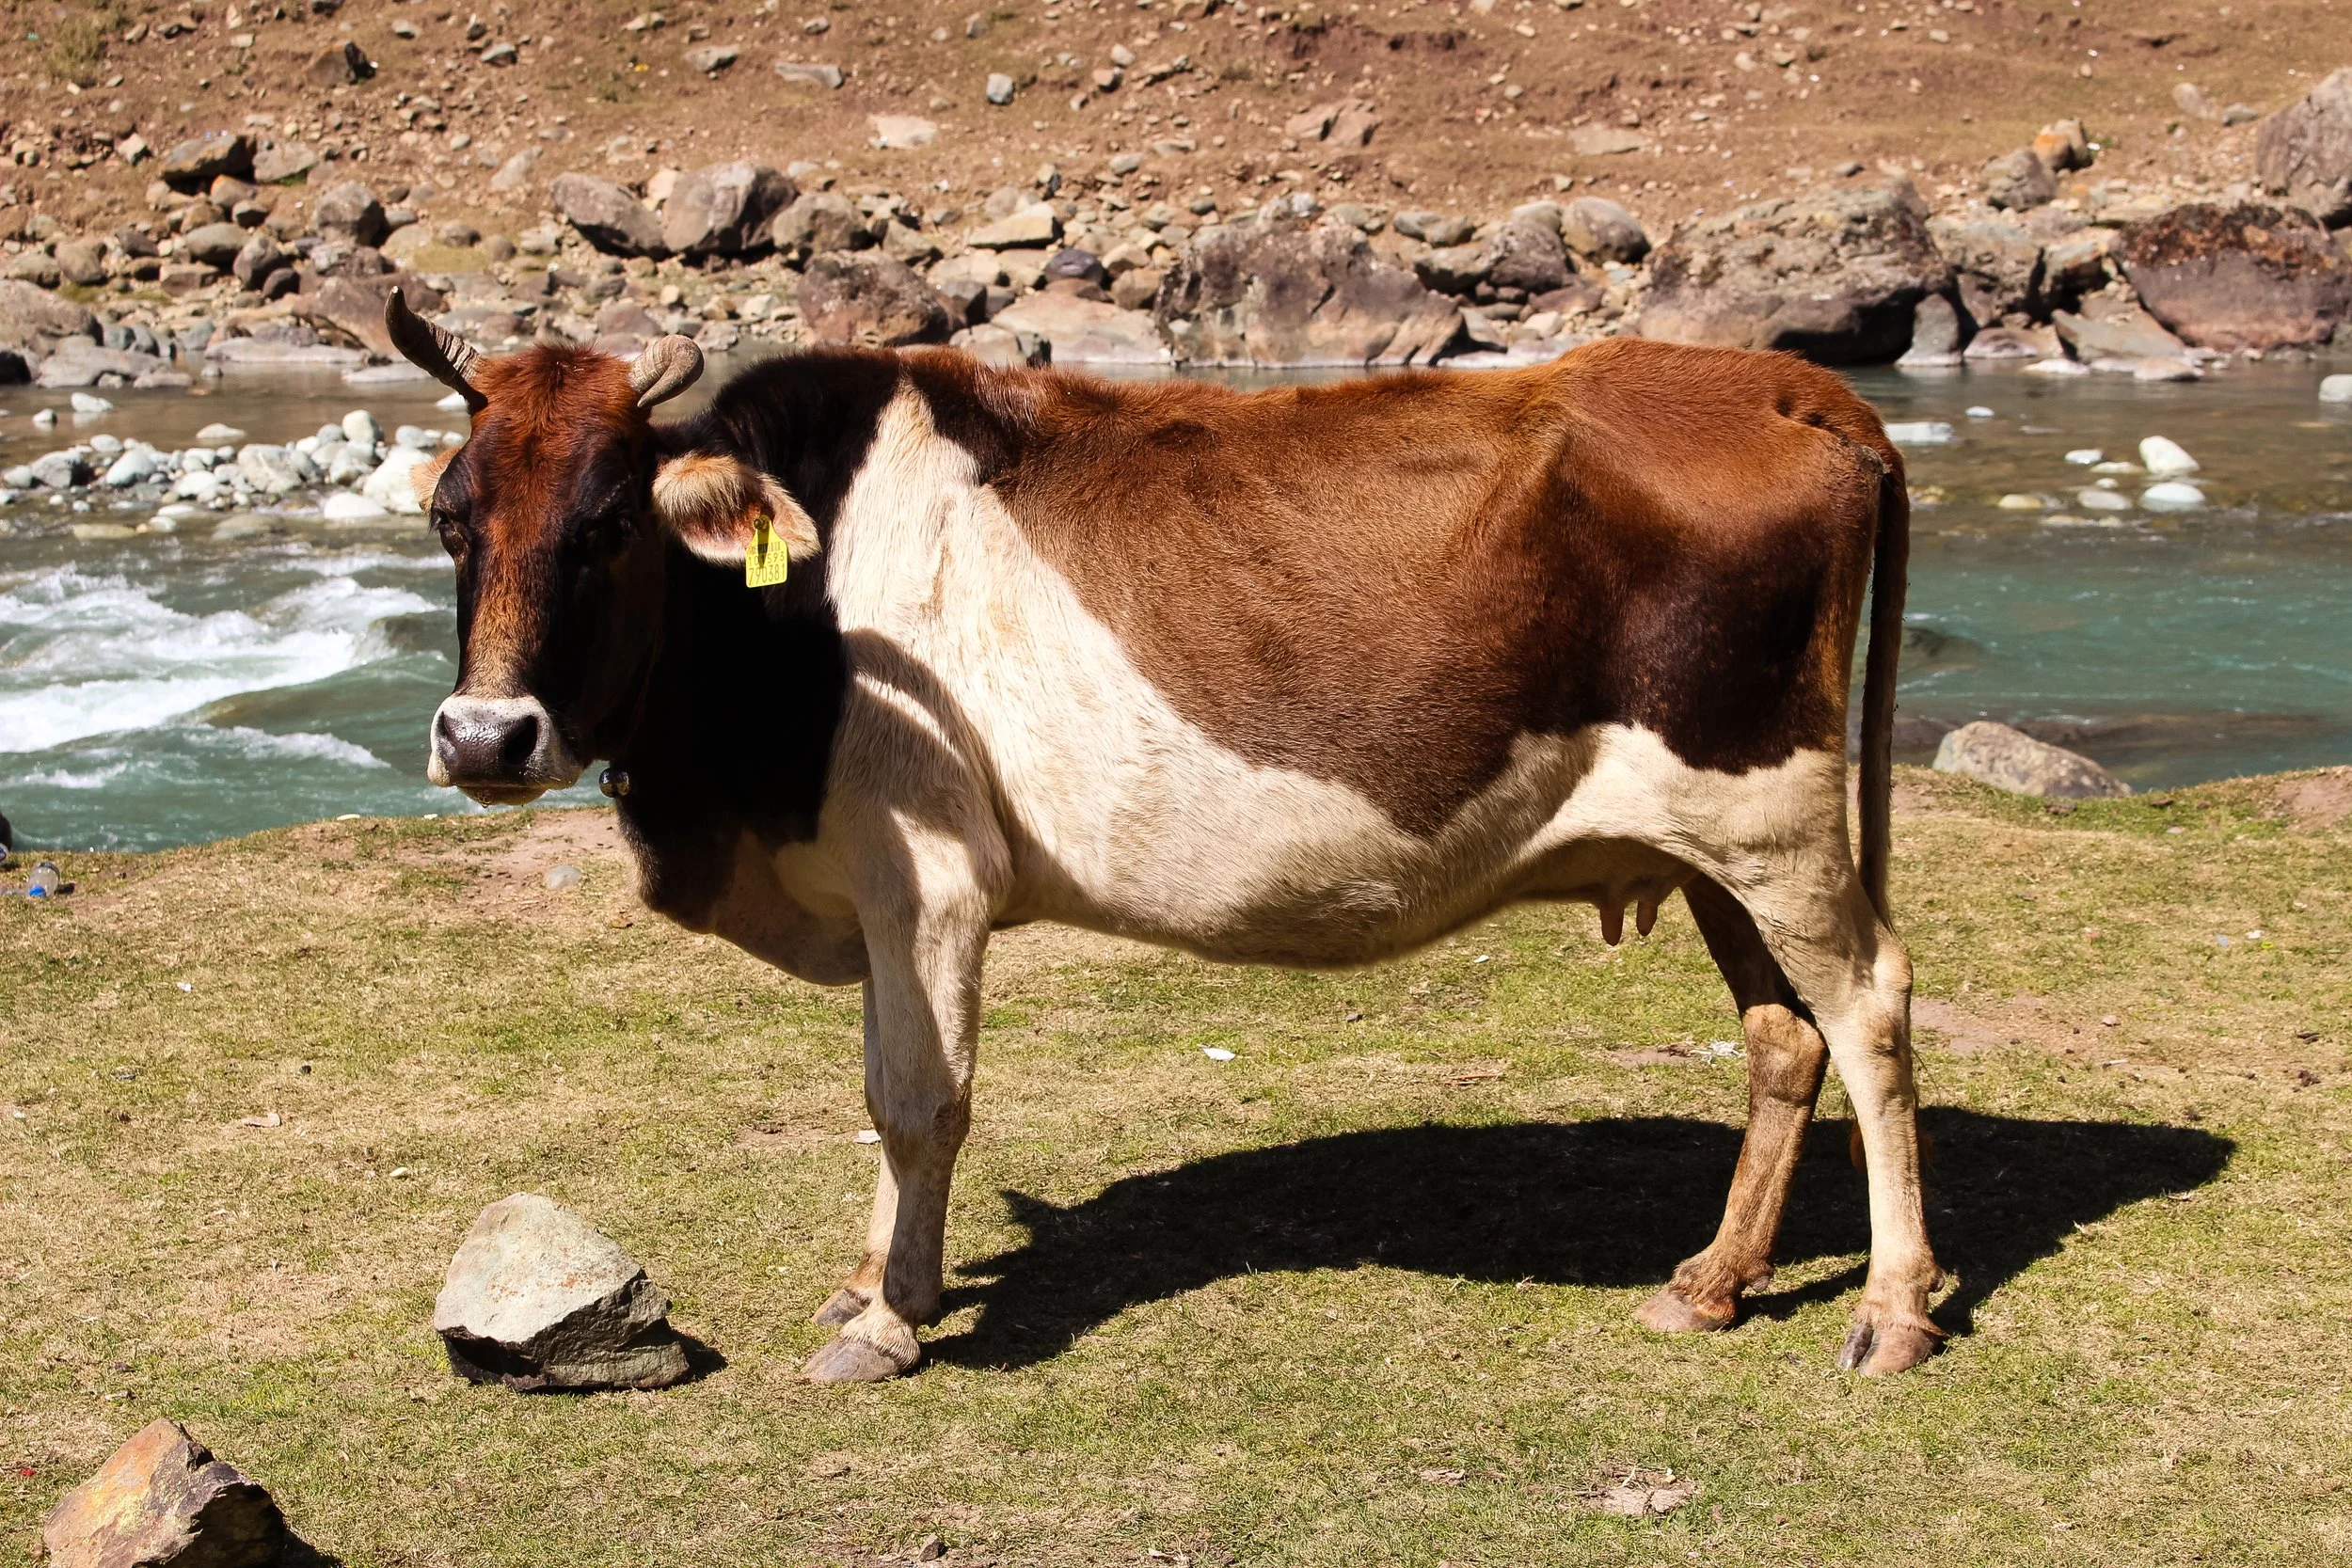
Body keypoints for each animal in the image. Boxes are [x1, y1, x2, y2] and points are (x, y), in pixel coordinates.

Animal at [385, 292, 1941, 1385]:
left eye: (609, 523)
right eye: (452, 517)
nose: (486, 735)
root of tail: (1787, 384)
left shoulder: (929, 880)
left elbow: (918, 1097)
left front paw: (889, 1322)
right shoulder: (875, 886)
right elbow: (882, 1094)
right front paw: (873, 1277)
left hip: (1775, 813)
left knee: (1869, 1008)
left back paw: (1891, 1310)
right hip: (1716, 842)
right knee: (1784, 1036)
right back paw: (1714, 1279)